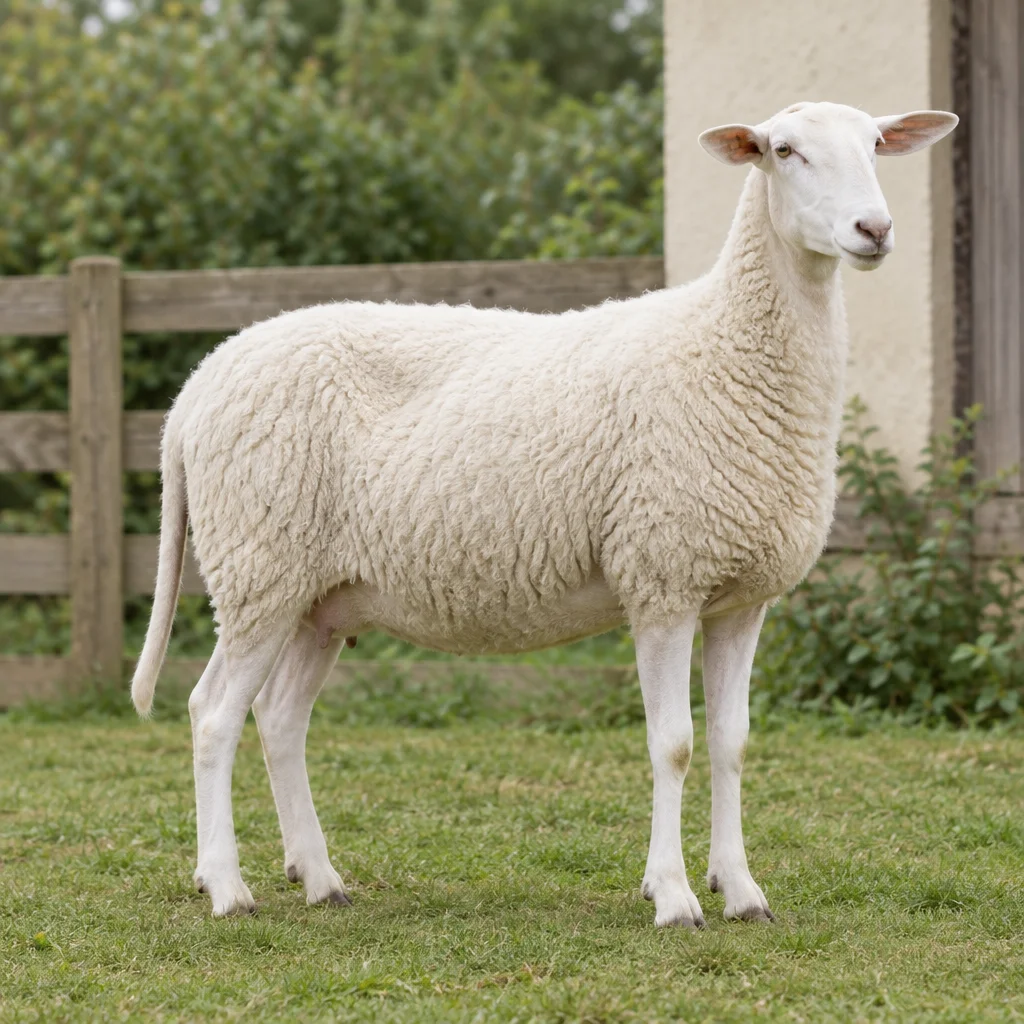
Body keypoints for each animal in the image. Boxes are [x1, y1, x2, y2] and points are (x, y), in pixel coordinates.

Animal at [131, 101, 957, 924]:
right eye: (784, 151)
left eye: (876, 143)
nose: (874, 229)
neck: (726, 342)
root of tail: (196, 387)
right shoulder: (661, 576)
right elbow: (674, 743)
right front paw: (673, 894)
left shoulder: (739, 596)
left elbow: (732, 742)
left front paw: (742, 889)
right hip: (258, 564)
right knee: (213, 715)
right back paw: (227, 886)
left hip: (317, 597)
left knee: (278, 719)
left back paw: (319, 876)